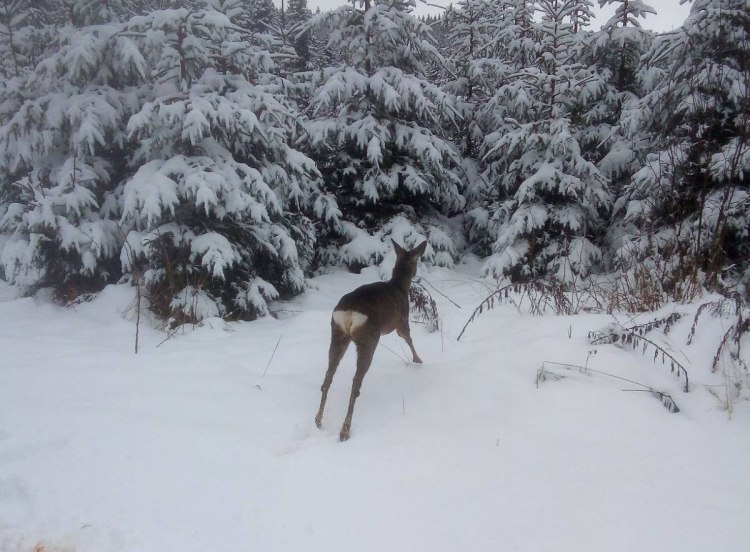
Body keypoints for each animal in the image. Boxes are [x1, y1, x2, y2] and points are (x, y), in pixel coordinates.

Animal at [316, 239, 428, 442]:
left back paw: (318, 420)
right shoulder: (402, 320)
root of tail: (349, 313)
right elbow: (408, 338)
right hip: (369, 337)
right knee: (355, 383)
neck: (400, 287)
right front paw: (418, 359)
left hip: (337, 334)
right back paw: (345, 430)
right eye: (417, 260)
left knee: (327, 378)